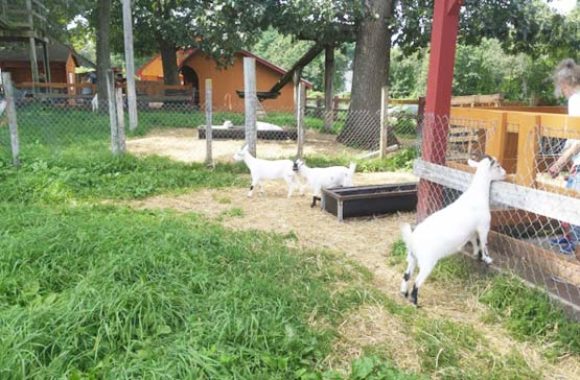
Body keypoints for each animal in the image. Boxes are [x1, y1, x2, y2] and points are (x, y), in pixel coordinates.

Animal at [402, 154, 506, 306]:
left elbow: (474, 241)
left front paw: (476, 254)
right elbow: (483, 243)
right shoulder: (483, 226)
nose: (505, 173)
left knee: (406, 275)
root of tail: (412, 240)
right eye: (498, 166)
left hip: (412, 258)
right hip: (427, 261)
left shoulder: (471, 231)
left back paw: (403, 293)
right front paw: (487, 259)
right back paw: (415, 302)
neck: (477, 194)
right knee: (417, 282)